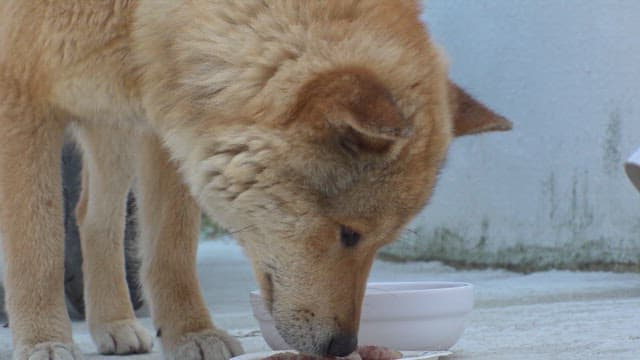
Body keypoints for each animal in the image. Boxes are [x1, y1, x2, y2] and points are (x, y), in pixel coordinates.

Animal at [0, 1, 510, 358]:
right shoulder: (22, 106)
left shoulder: (166, 123)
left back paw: (112, 323)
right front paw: (43, 340)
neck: (139, 14)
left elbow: (170, 249)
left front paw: (192, 333)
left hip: (112, 122)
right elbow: (37, 250)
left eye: (377, 243)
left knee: (93, 219)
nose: (344, 347)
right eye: (348, 234)